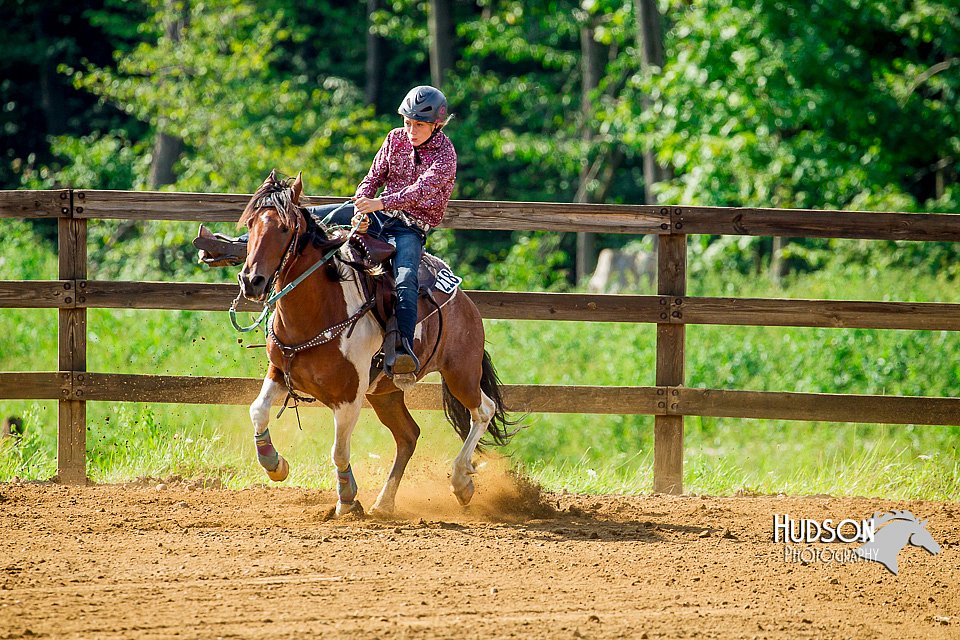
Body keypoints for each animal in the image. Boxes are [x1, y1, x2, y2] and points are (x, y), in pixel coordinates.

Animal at [233, 172, 516, 516]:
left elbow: (339, 450)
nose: (251, 281)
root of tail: (464, 300)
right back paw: (384, 502)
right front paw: (275, 464)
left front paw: (347, 499)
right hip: (386, 393)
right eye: (250, 225)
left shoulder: (349, 397)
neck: (320, 310)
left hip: (461, 374)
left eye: (284, 229)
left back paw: (461, 482)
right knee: (409, 436)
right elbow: (257, 410)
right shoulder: (279, 371)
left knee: (484, 410)